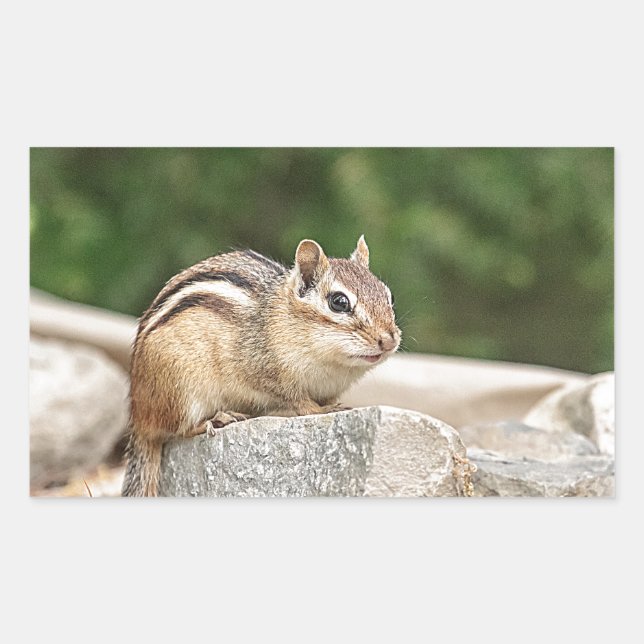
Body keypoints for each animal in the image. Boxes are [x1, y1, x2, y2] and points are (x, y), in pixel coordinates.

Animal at [121, 235, 401, 496]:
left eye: (389, 296)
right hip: (181, 391)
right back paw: (217, 419)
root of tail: (138, 417)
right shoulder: (265, 371)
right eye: (339, 302)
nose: (389, 340)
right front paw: (321, 410)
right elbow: (298, 401)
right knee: (176, 430)